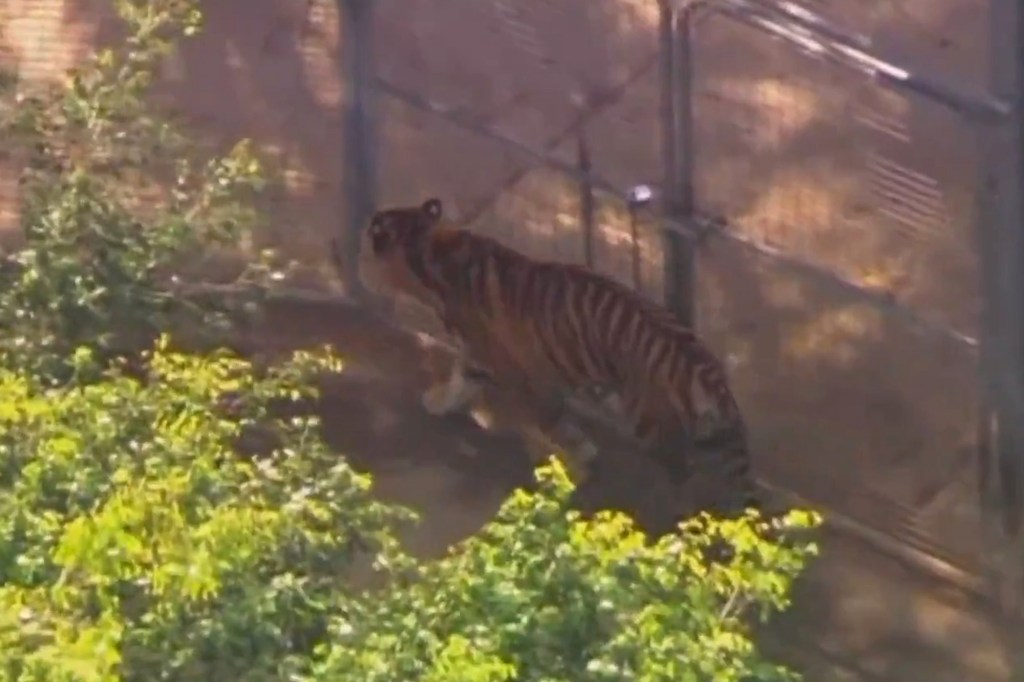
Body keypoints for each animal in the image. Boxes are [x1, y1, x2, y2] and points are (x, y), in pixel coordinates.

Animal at [339, 199, 765, 518]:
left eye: (370, 237)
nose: (355, 255)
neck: (430, 256)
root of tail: (704, 368)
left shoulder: (515, 368)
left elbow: (550, 423)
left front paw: (580, 462)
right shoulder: (479, 355)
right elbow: (462, 379)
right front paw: (439, 403)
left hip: (651, 419)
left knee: (681, 471)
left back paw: (673, 513)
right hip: (716, 433)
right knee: (732, 478)